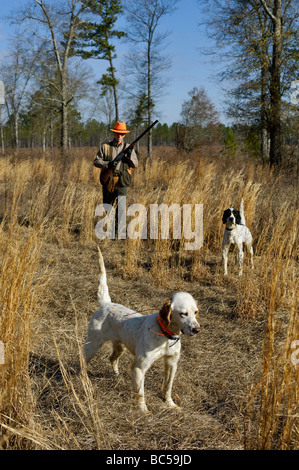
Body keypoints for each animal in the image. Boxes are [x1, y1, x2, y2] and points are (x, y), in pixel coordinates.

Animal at [84, 248, 202, 414]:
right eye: (183, 313)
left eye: (195, 312)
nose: (197, 329)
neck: (166, 335)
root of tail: (106, 304)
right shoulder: (139, 367)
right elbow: (140, 393)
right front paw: (144, 411)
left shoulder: (172, 363)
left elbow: (168, 388)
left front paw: (170, 404)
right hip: (92, 345)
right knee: (82, 361)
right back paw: (83, 380)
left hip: (119, 347)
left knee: (112, 359)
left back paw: (117, 376)